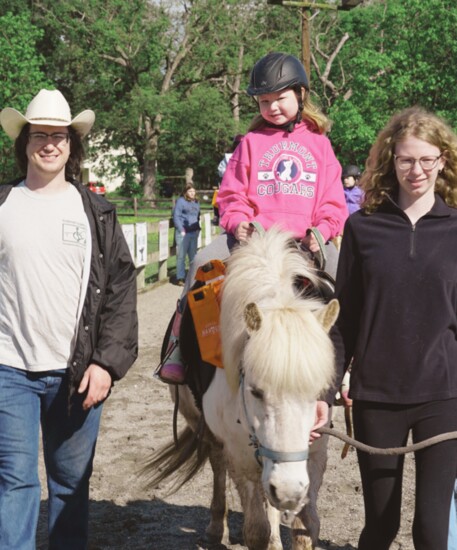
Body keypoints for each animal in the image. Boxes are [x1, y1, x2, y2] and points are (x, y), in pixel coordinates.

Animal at [146, 229, 338, 550]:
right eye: (256, 391)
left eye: (318, 391)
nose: (288, 491)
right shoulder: (239, 454)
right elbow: (256, 531)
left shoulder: (314, 451)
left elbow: (307, 526)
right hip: (203, 425)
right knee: (217, 465)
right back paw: (216, 529)